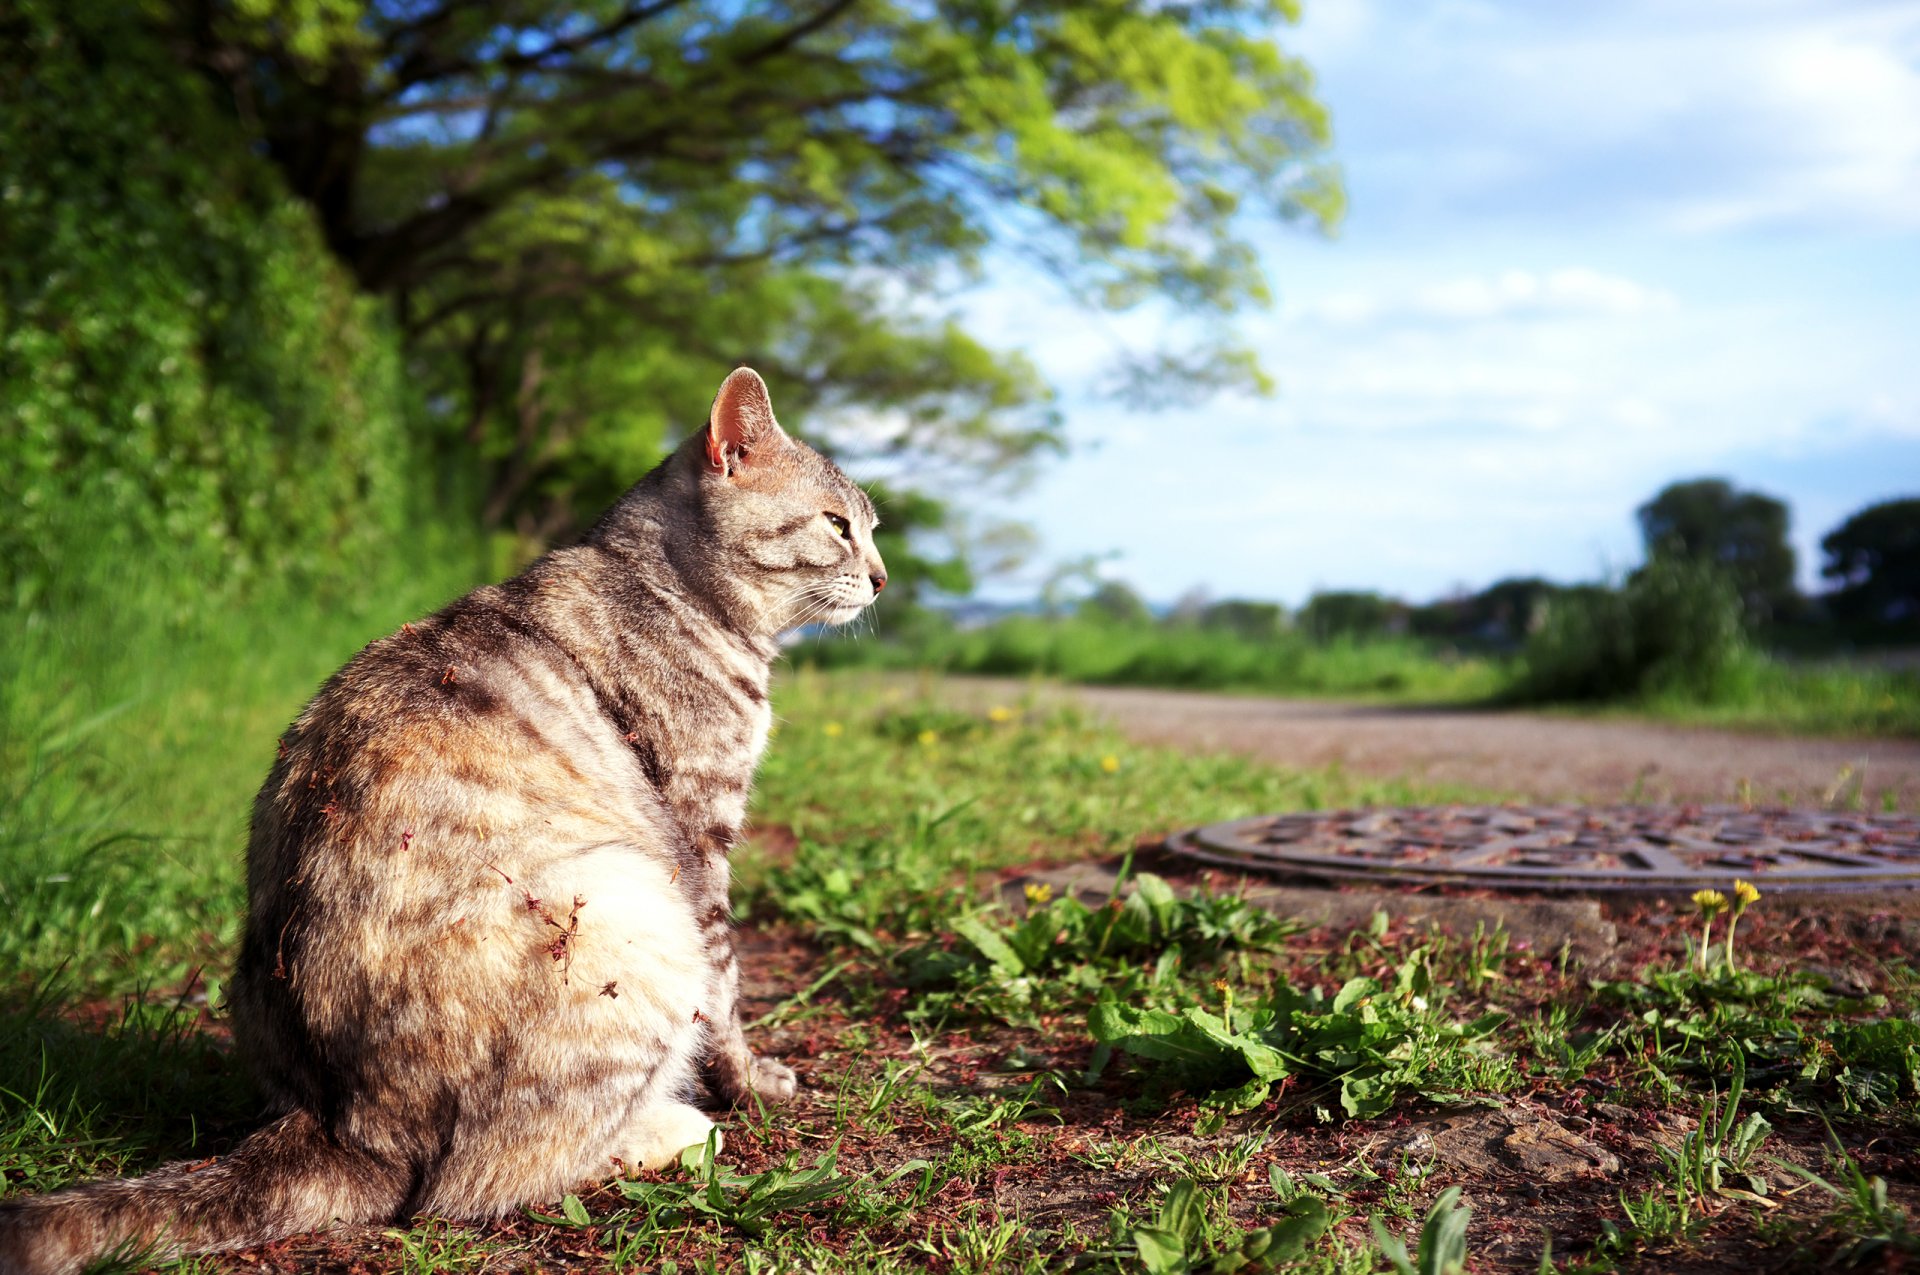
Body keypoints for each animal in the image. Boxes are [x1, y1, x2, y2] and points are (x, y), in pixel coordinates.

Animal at [0, 368, 883, 1275]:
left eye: (872, 529)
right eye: (839, 525)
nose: (885, 577)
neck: (666, 582)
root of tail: (341, 1124)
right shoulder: (700, 836)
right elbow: (728, 987)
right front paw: (751, 1082)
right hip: (631, 898)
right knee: (488, 1174)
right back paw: (671, 1129)